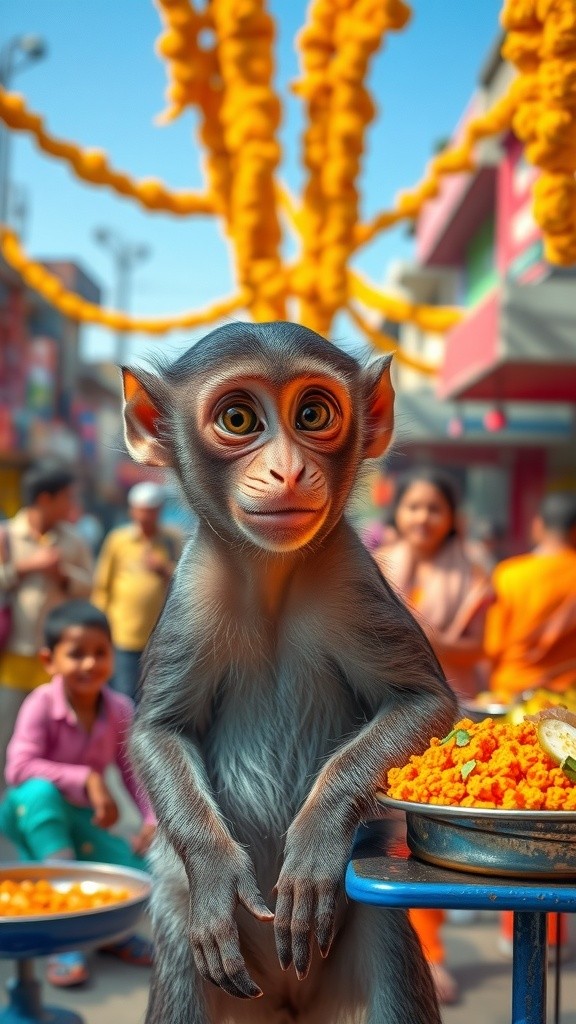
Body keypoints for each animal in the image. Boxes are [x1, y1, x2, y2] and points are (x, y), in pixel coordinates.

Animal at [121, 320, 458, 1024]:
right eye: (239, 419)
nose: (289, 468)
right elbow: (158, 731)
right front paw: (215, 873)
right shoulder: (192, 591)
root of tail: (287, 998)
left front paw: (315, 842)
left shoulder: (351, 577)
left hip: (366, 930)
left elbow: (423, 702)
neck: (272, 574)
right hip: (189, 939)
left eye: (312, 415)